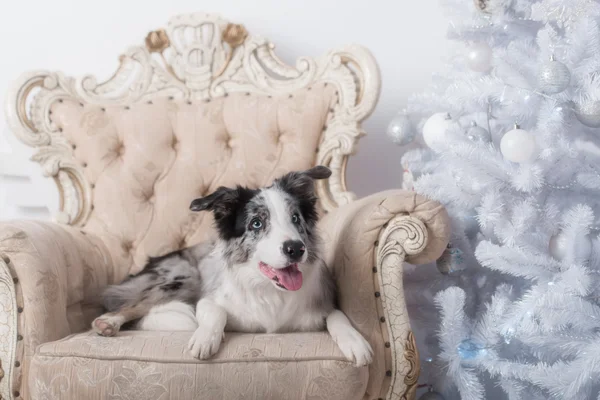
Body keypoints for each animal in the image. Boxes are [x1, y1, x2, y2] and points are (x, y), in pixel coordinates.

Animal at [91, 165, 372, 366]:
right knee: (128, 305)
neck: (269, 291)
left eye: (295, 218)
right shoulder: (209, 299)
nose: (295, 249)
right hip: (182, 278)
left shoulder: (321, 306)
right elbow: (216, 312)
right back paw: (108, 323)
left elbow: (338, 316)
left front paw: (356, 343)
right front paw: (204, 339)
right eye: (256, 223)